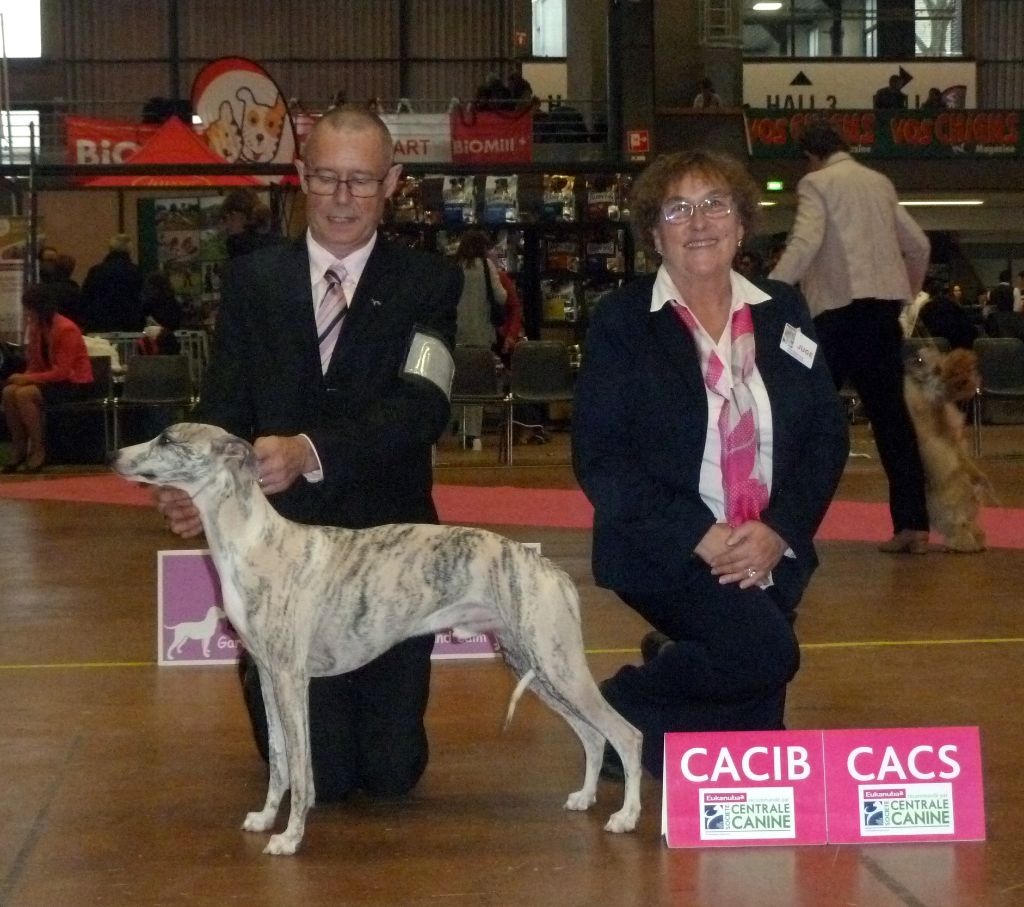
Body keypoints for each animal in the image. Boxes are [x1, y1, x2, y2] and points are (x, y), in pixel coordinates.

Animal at [112, 421, 638, 855]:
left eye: (168, 439)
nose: (114, 455)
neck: (255, 543)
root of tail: (551, 571)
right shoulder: (265, 674)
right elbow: (280, 759)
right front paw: (265, 818)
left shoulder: (291, 678)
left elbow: (302, 768)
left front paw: (290, 837)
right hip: (533, 665)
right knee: (594, 735)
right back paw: (585, 797)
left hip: (557, 664)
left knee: (626, 734)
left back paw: (626, 817)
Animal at [905, 343, 991, 548]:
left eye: (920, 360)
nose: (910, 357)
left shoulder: (927, 395)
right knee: (973, 527)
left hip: (946, 510)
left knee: (960, 527)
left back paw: (959, 546)